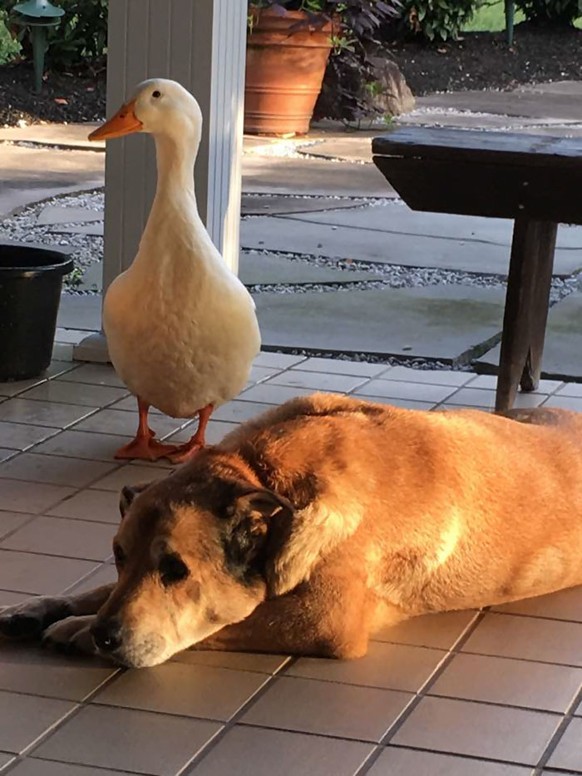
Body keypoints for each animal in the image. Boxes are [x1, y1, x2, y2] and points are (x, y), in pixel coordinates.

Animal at [1, 394, 582, 668]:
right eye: (119, 555)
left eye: (176, 570)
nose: (106, 634)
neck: (261, 474)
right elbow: (97, 591)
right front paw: (41, 608)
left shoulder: (322, 620)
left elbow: (224, 622)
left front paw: (77, 630)